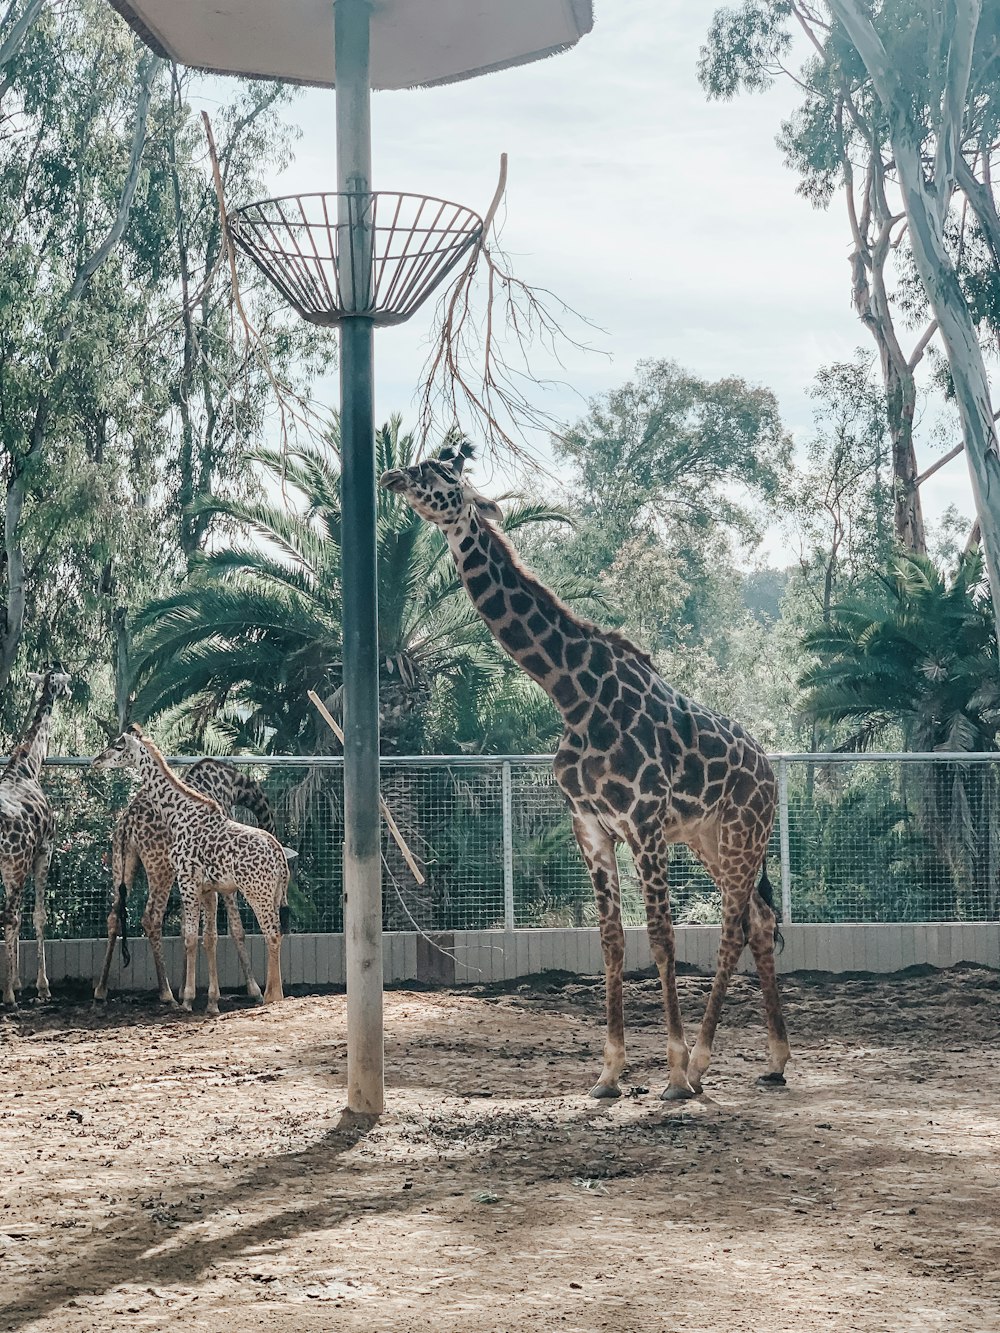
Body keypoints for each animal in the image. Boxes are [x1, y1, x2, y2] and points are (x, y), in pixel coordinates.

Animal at [91, 730, 289, 1007]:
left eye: (118, 746)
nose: (95, 761)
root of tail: (279, 855)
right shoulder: (205, 886)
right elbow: (204, 936)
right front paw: (206, 998)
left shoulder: (192, 881)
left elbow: (199, 935)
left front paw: (190, 997)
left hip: (252, 890)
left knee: (271, 932)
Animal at [384, 442, 789, 1098]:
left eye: (443, 472)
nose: (393, 474)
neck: (572, 695)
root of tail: (772, 776)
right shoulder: (591, 827)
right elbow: (612, 942)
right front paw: (609, 1072)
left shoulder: (644, 824)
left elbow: (661, 939)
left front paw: (672, 1072)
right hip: (710, 841)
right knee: (758, 918)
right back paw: (775, 1061)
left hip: (740, 837)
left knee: (733, 925)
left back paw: (701, 1065)